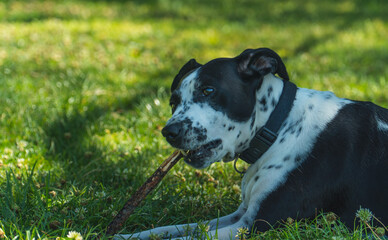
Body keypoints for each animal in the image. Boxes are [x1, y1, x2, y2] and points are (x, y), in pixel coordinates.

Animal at [118, 47, 388, 239]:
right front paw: (123, 235)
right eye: (173, 102)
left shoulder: (259, 225)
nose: (168, 131)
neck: (279, 127)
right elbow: (168, 230)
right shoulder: (242, 214)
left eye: (208, 90)